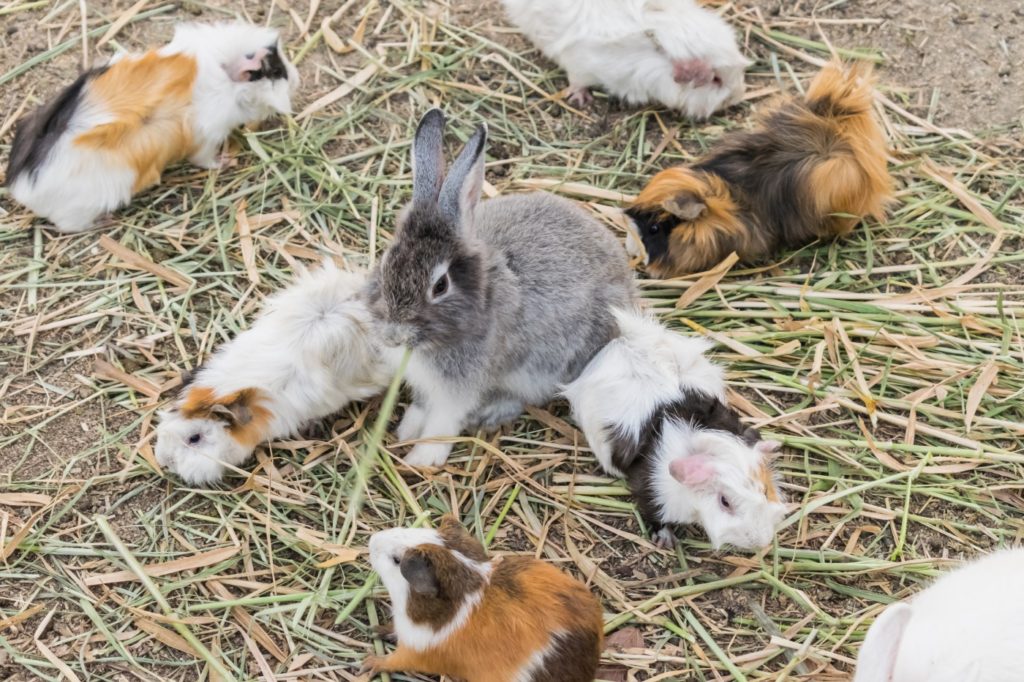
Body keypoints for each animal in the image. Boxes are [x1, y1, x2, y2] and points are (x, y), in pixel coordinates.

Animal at [368, 109, 634, 464]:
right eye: (386, 261)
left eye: (440, 286)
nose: (393, 336)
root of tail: (631, 288)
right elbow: (423, 406)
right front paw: (406, 430)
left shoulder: (461, 388)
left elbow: (444, 421)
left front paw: (422, 458)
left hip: (551, 366)